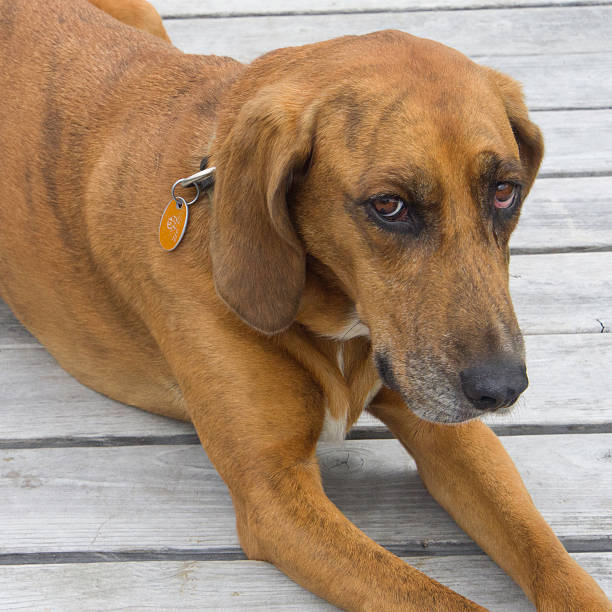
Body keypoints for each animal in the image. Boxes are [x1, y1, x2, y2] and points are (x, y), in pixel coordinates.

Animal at [1, 0, 612, 608]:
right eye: (389, 206)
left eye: (505, 191)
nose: (502, 388)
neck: (339, 319)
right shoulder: (274, 492)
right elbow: (435, 599)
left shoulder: (449, 430)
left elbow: (549, 555)